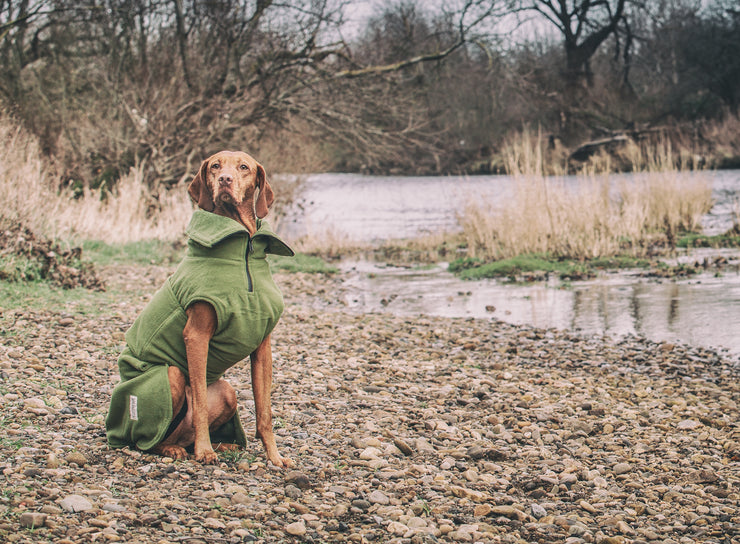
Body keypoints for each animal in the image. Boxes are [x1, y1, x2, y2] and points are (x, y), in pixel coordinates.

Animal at [105, 151, 294, 466]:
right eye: (215, 166)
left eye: (244, 167)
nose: (225, 180)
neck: (242, 249)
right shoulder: (196, 335)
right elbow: (202, 406)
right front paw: (205, 451)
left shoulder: (263, 346)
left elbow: (264, 411)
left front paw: (275, 456)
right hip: (167, 378)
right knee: (155, 437)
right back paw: (178, 448)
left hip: (227, 391)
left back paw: (222, 445)